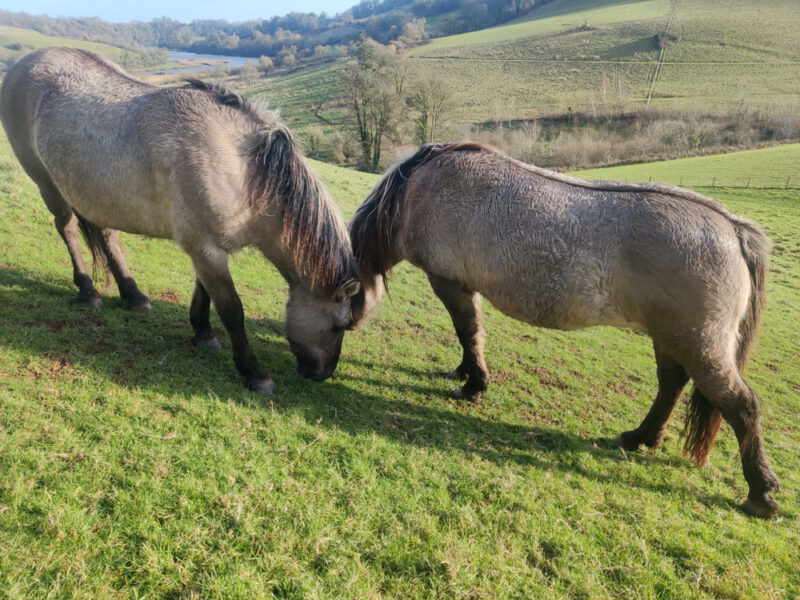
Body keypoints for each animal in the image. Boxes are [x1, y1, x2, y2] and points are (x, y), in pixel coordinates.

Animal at [0, 47, 361, 393]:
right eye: (340, 325)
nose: (322, 375)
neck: (244, 170)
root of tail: (22, 65)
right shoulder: (205, 248)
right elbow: (231, 309)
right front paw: (254, 373)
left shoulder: (208, 248)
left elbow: (204, 293)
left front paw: (202, 333)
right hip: (47, 183)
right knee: (68, 229)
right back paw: (88, 293)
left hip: (97, 194)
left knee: (106, 235)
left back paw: (134, 296)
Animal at [348, 141, 779, 518]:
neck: (417, 189)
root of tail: (732, 228)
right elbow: (472, 335)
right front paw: (464, 372)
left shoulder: (449, 283)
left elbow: (467, 332)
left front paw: (474, 385)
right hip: (672, 338)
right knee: (671, 385)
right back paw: (639, 438)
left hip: (699, 345)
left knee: (742, 406)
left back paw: (760, 493)